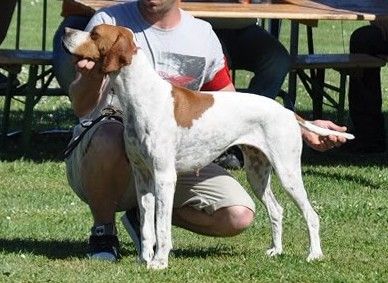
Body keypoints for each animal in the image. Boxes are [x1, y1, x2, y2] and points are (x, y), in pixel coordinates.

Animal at [63, 24, 354, 270]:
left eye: (94, 34)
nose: (66, 31)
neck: (141, 96)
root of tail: (287, 111)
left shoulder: (164, 177)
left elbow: (161, 227)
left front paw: (159, 262)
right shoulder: (142, 176)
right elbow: (146, 227)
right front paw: (143, 260)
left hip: (288, 171)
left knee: (311, 214)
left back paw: (314, 254)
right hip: (257, 173)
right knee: (277, 210)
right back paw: (276, 250)